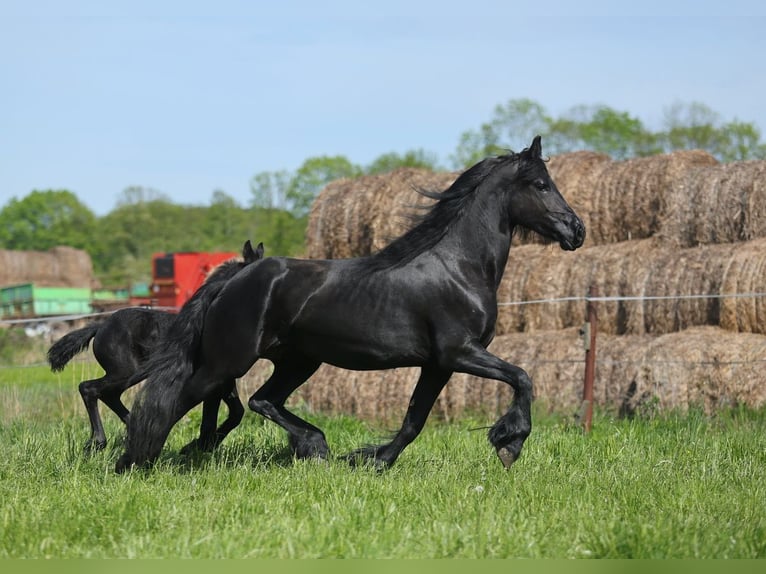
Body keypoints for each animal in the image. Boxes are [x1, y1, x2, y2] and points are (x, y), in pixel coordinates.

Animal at [48, 238, 266, 454]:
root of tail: (100, 326)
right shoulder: (214, 376)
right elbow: (216, 416)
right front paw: (196, 447)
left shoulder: (225, 378)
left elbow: (236, 412)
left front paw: (202, 445)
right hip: (128, 371)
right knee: (89, 388)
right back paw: (98, 442)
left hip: (128, 374)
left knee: (109, 394)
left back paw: (130, 430)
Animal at [118, 137, 588, 474]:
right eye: (541, 184)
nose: (577, 230)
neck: (459, 267)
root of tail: (235, 277)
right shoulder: (461, 352)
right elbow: (522, 377)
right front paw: (510, 443)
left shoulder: (438, 364)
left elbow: (414, 421)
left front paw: (372, 460)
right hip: (229, 362)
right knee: (178, 400)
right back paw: (136, 463)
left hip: (297, 361)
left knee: (260, 401)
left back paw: (312, 445)